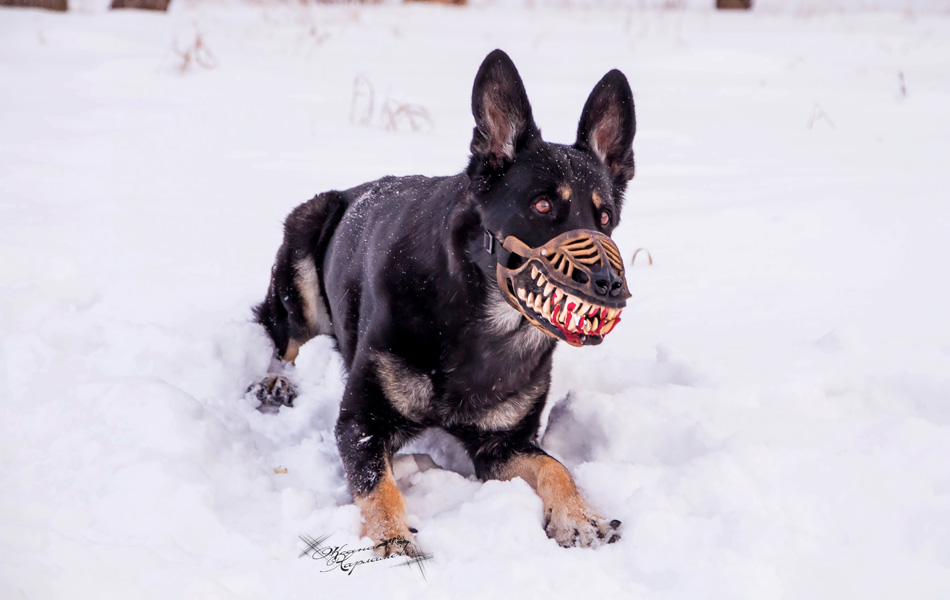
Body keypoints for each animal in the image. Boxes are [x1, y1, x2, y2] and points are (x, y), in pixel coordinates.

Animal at [249, 49, 636, 553]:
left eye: (604, 217)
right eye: (543, 207)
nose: (610, 284)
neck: (479, 320)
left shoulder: (502, 445)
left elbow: (556, 466)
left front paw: (579, 516)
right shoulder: (361, 422)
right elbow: (379, 487)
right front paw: (393, 541)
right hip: (303, 252)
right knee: (285, 340)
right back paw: (276, 383)